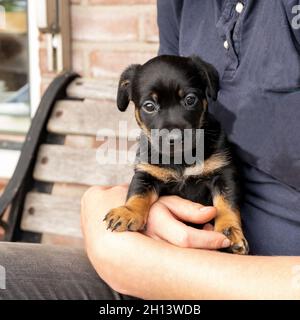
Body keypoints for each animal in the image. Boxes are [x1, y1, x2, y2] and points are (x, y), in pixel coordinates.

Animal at [104, 55, 250, 255]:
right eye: (149, 106)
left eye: (190, 99)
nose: (174, 137)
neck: (181, 157)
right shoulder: (146, 173)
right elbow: (137, 194)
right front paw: (127, 212)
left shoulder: (224, 173)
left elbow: (226, 205)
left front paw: (229, 231)